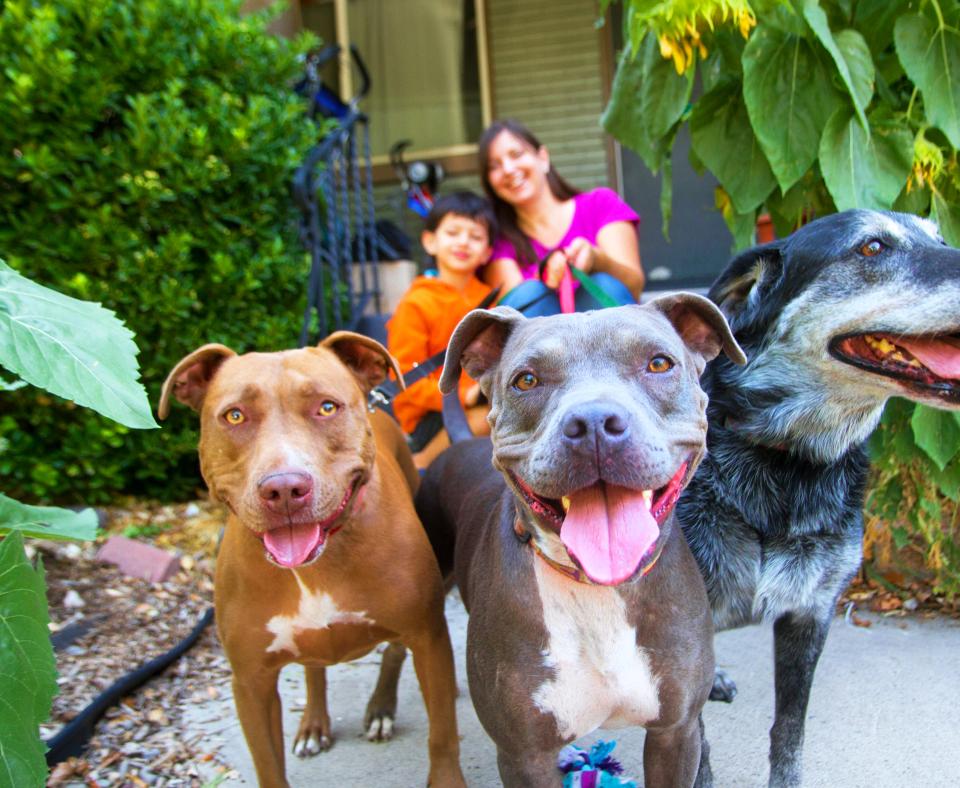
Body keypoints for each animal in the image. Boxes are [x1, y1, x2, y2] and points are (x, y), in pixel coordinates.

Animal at [160, 334, 464, 788]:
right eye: (234, 416)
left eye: (326, 407)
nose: (284, 488)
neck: (315, 565)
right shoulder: (250, 682)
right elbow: (268, 765)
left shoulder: (429, 638)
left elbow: (442, 736)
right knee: (313, 668)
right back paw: (313, 724)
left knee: (392, 651)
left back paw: (380, 708)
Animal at [416, 298, 748, 788]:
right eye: (526, 380)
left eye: (659, 363)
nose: (593, 423)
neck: (598, 589)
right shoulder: (525, 755)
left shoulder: (676, 733)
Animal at [684, 206, 960, 784]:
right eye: (872, 247)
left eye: (941, 238)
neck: (786, 463)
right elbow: (696, 749)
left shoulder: (811, 613)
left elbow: (790, 729)